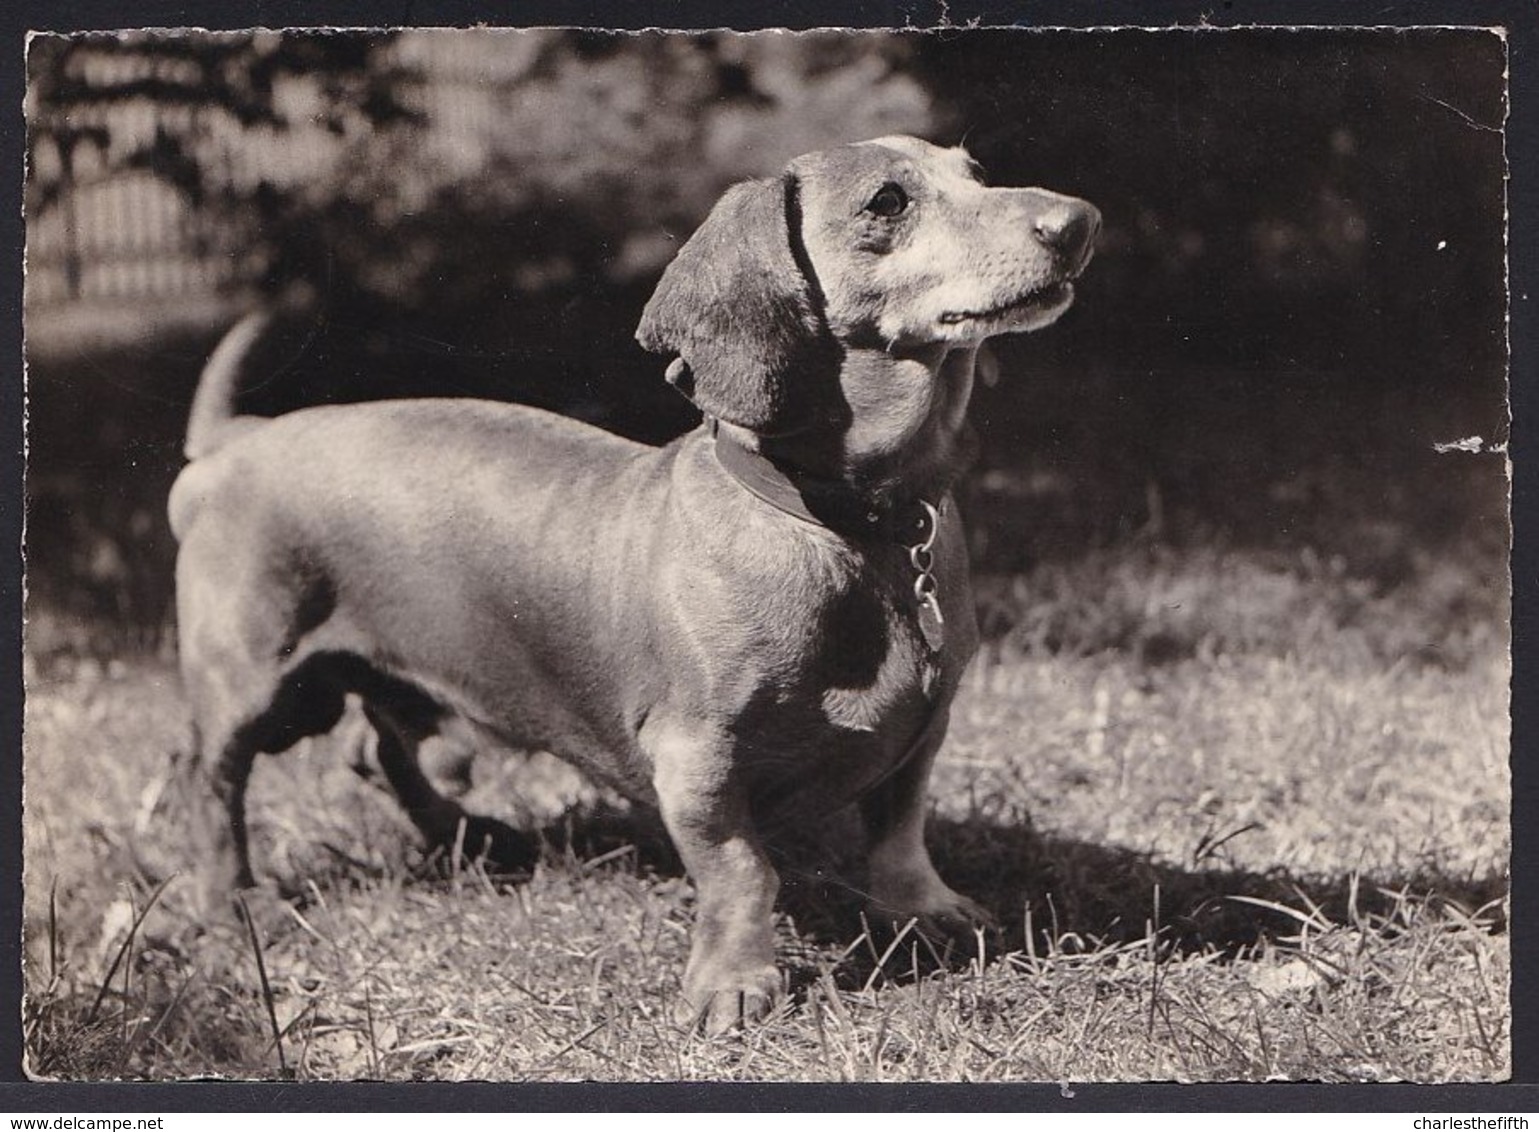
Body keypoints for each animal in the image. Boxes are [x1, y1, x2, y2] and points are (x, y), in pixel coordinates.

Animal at [174, 134, 1101, 1033]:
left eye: (973, 171)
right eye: (886, 200)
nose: (1078, 222)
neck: (846, 528)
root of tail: (234, 440)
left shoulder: (922, 732)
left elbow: (900, 833)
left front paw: (925, 909)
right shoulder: (696, 763)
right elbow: (743, 873)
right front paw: (734, 984)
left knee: (379, 749)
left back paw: (468, 836)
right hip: (255, 688)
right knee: (213, 787)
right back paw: (234, 906)